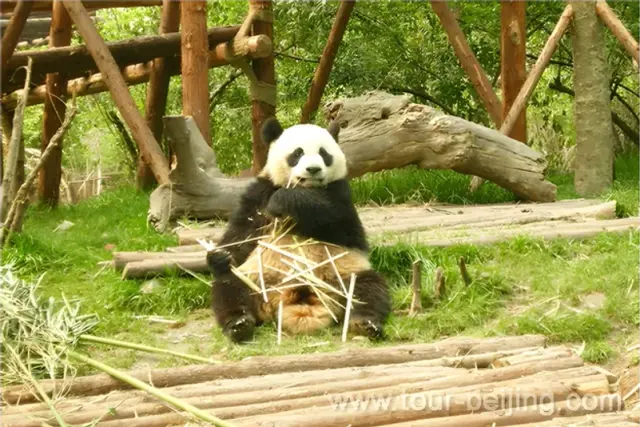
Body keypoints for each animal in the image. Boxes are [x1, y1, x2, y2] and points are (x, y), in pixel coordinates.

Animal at [207, 117, 391, 343]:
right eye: (298, 153)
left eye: (324, 153)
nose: (313, 169)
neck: (305, 188)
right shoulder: (261, 192)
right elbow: (242, 233)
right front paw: (220, 256)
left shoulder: (341, 193)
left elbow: (341, 224)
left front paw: (284, 200)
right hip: (257, 278)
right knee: (230, 286)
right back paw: (239, 325)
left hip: (344, 274)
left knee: (367, 288)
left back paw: (365, 323)